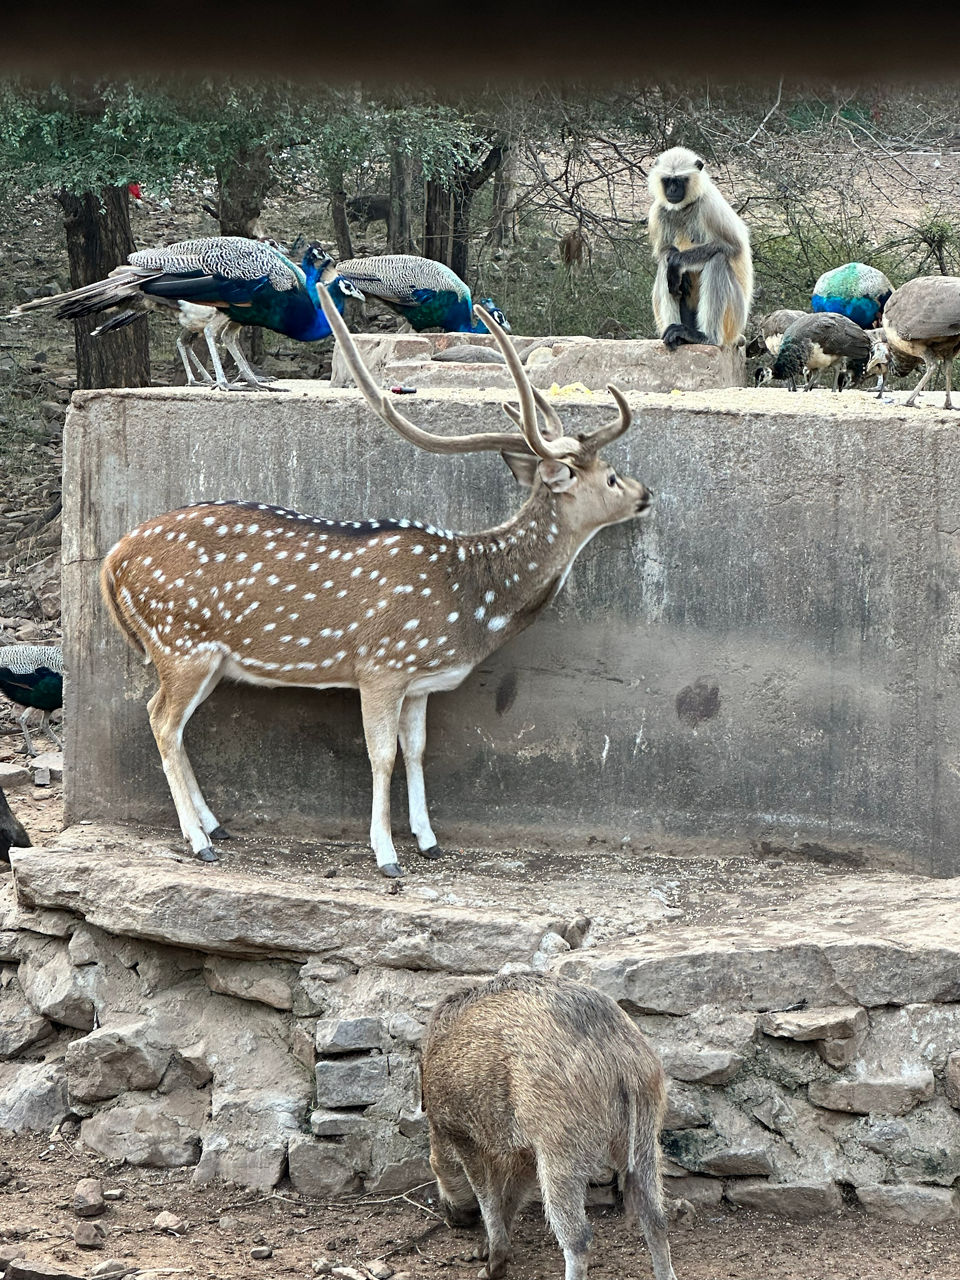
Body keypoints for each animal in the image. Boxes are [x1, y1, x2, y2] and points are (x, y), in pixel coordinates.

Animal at [99, 287, 652, 878]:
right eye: (611, 477)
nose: (647, 494)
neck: (473, 599)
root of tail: (111, 559)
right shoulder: (381, 665)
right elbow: (381, 755)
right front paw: (386, 854)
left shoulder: (419, 682)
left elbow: (416, 750)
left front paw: (429, 839)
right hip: (180, 642)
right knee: (160, 720)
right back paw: (197, 839)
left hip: (207, 658)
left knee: (173, 725)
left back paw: (216, 825)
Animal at [647, 147, 754, 350]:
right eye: (668, 180)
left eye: (680, 180)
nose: (672, 190)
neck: (684, 208)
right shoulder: (658, 210)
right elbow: (663, 251)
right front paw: (673, 258)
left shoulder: (709, 205)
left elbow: (735, 247)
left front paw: (678, 262)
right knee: (665, 265)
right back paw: (676, 335)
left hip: (735, 319)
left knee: (718, 259)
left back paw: (706, 337)